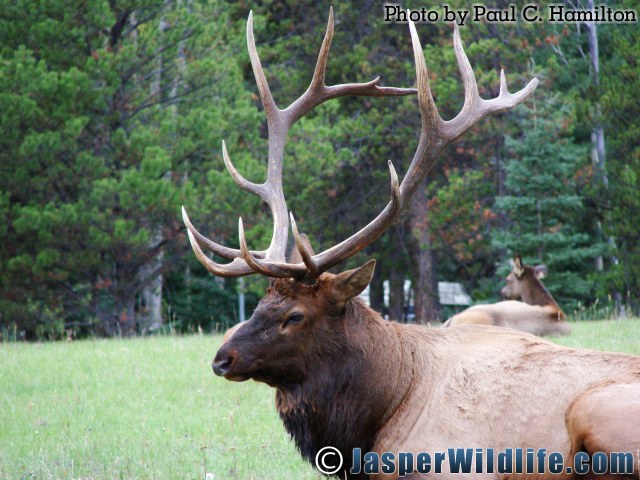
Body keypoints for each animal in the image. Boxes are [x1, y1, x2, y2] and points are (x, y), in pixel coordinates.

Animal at [182, 9, 640, 480]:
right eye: (258, 305)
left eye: (294, 315)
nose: (222, 358)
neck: (380, 409)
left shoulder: (454, 459)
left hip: (594, 408)